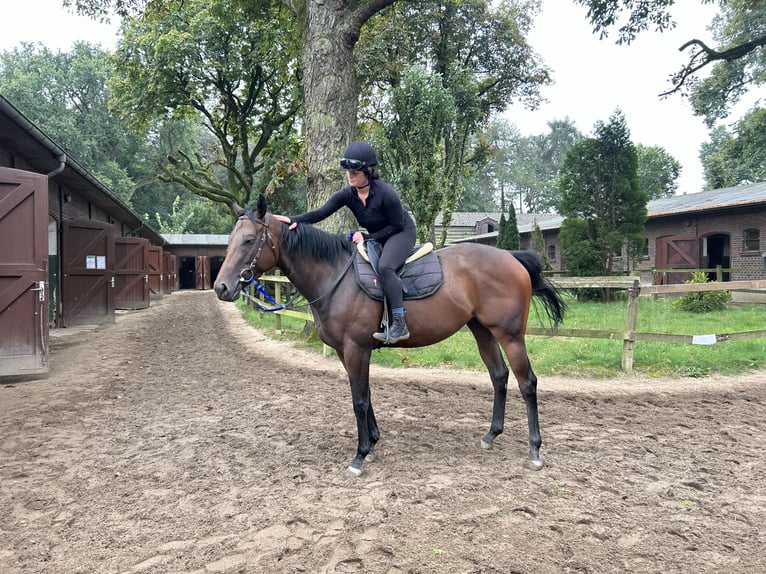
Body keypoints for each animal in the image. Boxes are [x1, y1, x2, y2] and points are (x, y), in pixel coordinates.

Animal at [213, 198, 568, 476]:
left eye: (248, 240)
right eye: (230, 240)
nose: (222, 287)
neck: (336, 275)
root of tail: (511, 258)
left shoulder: (356, 348)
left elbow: (358, 399)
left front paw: (359, 456)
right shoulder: (347, 351)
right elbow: (365, 395)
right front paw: (372, 443)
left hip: (510, 335)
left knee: (527, 382)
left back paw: (534, 450)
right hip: (482, 331)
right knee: (499, 376)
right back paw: (491, 435)